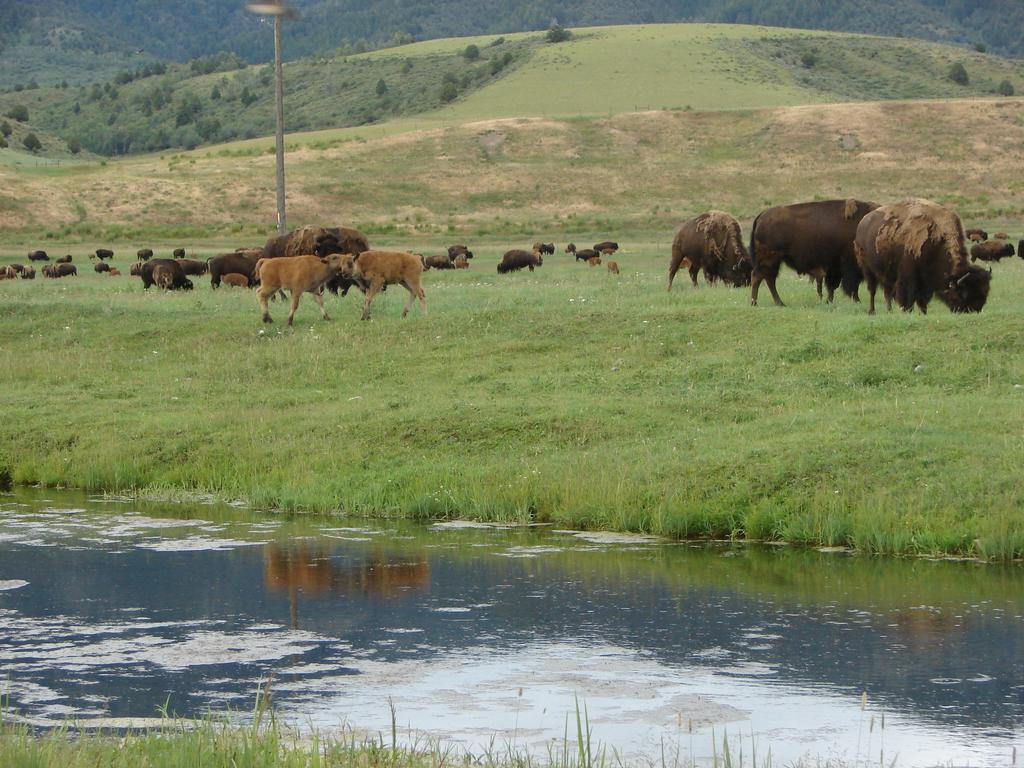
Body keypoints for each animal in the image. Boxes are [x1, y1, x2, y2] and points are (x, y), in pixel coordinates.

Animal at [856, 201, 991, 319]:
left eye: (985, 293)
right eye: (963, 294)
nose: (974, 310)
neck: (936, 242)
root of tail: (863, 222)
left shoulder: (926, 282)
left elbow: (922, 301)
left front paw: (923, 313)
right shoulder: (908, 278)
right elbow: (908, 298)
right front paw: (907, 312)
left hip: (887, 274)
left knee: (886, 292)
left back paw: (889, 311)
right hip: (868, 270)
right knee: (872, 291)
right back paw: (872, 311)